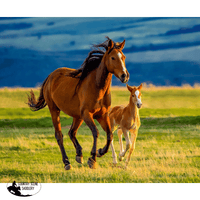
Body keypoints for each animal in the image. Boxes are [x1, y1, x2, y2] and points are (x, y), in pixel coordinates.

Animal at [27, 36, 130, 170]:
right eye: (113, 57)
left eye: (123, 57)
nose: (125, 76)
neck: (97, 87)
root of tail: (50, 76)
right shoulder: (87, 114)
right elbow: (96, 132)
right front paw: (92, 159)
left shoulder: (102, 115)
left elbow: (109, 135)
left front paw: (100, 152)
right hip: (55, 110)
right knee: (59, 135)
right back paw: (67, 162)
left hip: (77, 116)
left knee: (72, 132)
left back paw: (79, 155)